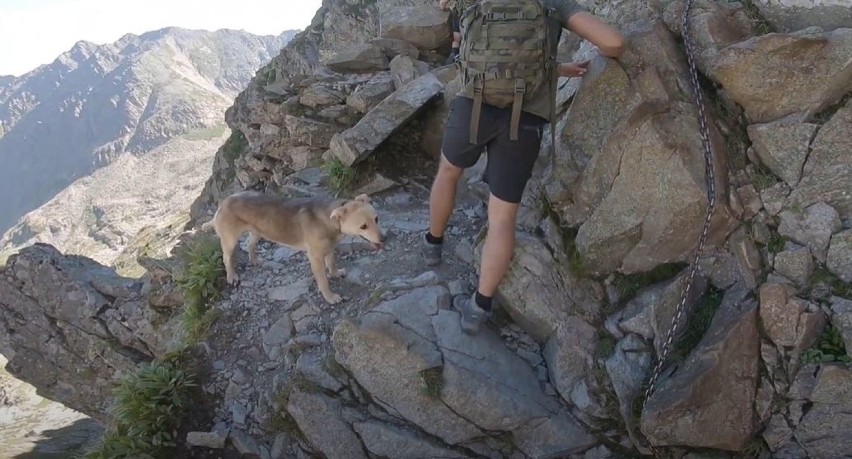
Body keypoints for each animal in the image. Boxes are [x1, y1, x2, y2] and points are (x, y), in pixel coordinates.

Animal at [200, 190, 386, 306]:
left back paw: (255, 260)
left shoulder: (329, 248)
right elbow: (323, 281)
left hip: (258, 231)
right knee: (227, 258)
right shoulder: (315, 257)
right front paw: (330, 297)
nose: (384, 239)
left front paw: (335, 273)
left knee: (249, 244)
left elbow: (332, 263)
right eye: (363, 226)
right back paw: (232, 276)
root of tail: (223, 202)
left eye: (377, 219)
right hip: (230, 240)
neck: (330, 220)